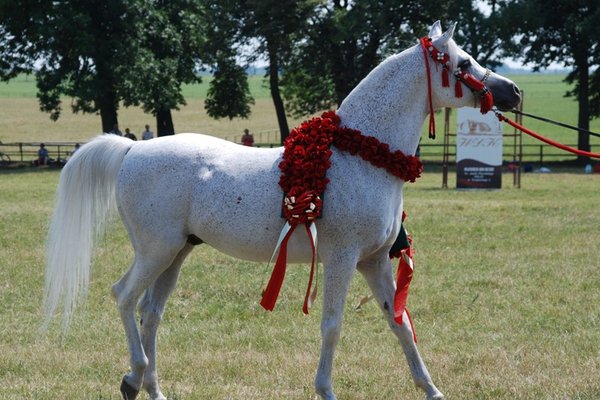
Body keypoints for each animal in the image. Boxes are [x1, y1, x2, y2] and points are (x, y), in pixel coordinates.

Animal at [43, 22, 520, 400]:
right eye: (463, 62)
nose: (512, 91)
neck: (362, 154)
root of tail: (133, 150)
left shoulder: (374, 262)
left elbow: (400, 322)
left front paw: (432, 390)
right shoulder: (343, 259)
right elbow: (332, 324)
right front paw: (326, 390)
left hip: (177, 253)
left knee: (150, 313)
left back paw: (153, 389)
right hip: (155, 250)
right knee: (124, 297)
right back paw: (132, 378)